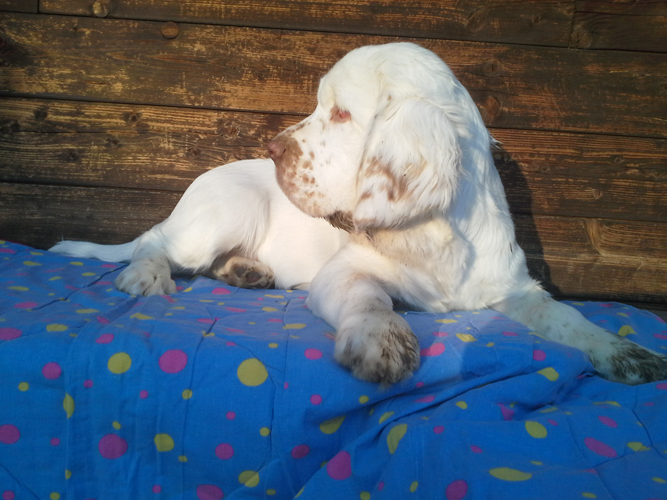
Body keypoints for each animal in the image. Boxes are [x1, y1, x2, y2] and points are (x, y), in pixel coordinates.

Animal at [53, 44, 667, 386]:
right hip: (225, 211)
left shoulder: (512, 288)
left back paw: (247, 271)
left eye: (342, 113)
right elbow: (371, 300)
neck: (430, 235)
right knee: (155, 243)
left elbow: (566, 318)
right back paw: (146, 274)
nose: (272, 148)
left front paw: (627, 352)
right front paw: (381, 342)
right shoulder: (346, 272)